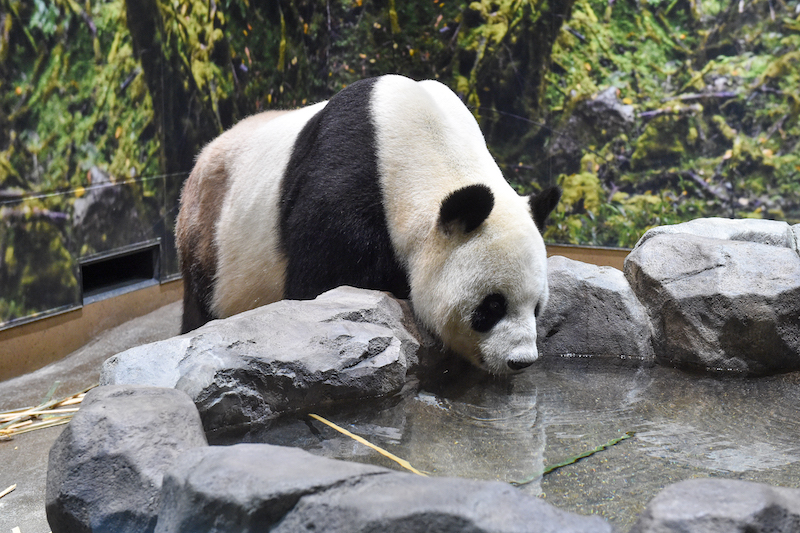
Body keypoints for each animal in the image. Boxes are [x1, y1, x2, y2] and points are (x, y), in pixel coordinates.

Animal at [175, 74, 564, 374]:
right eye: (493, 306)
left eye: (537, 306)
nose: (521, 361)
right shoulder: (344, 187)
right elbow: (320, 283)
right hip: (210, 231)